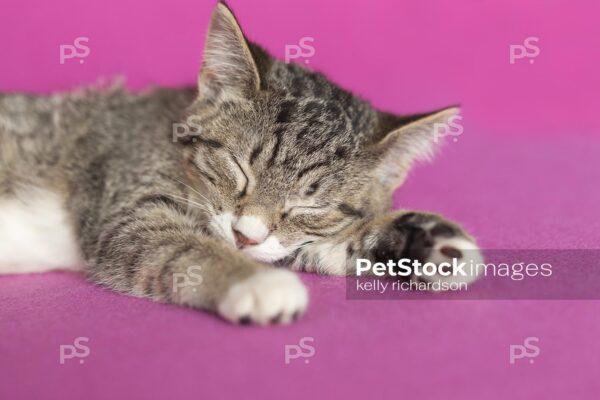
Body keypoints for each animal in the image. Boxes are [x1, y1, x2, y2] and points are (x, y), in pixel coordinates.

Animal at [0, 3, 482, 324]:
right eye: (238, 167)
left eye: (311, 206)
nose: (244, 235)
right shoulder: (125, 199)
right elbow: (180, 245)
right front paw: (257, 282)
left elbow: (310, 247)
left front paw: (421, 240)